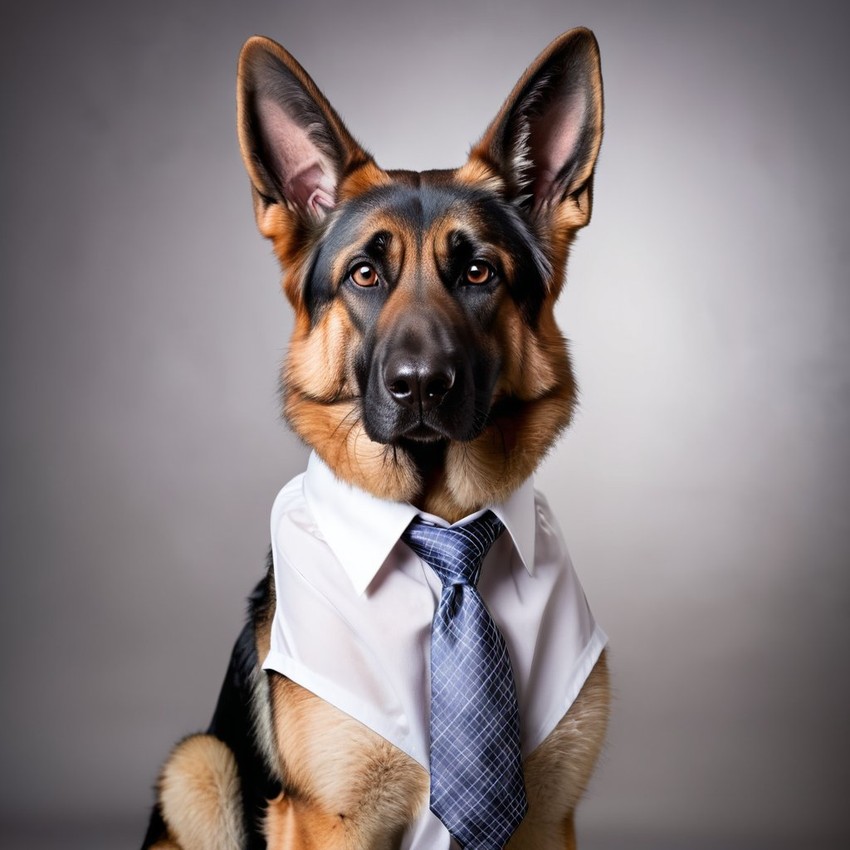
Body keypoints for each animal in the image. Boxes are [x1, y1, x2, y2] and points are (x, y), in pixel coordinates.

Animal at [144, 26, 608, 848]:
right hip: (198, 766)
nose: (420, 384)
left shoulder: (549, 818)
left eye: (480, 273)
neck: (443, 521)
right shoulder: (330, 824)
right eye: (365, 275)